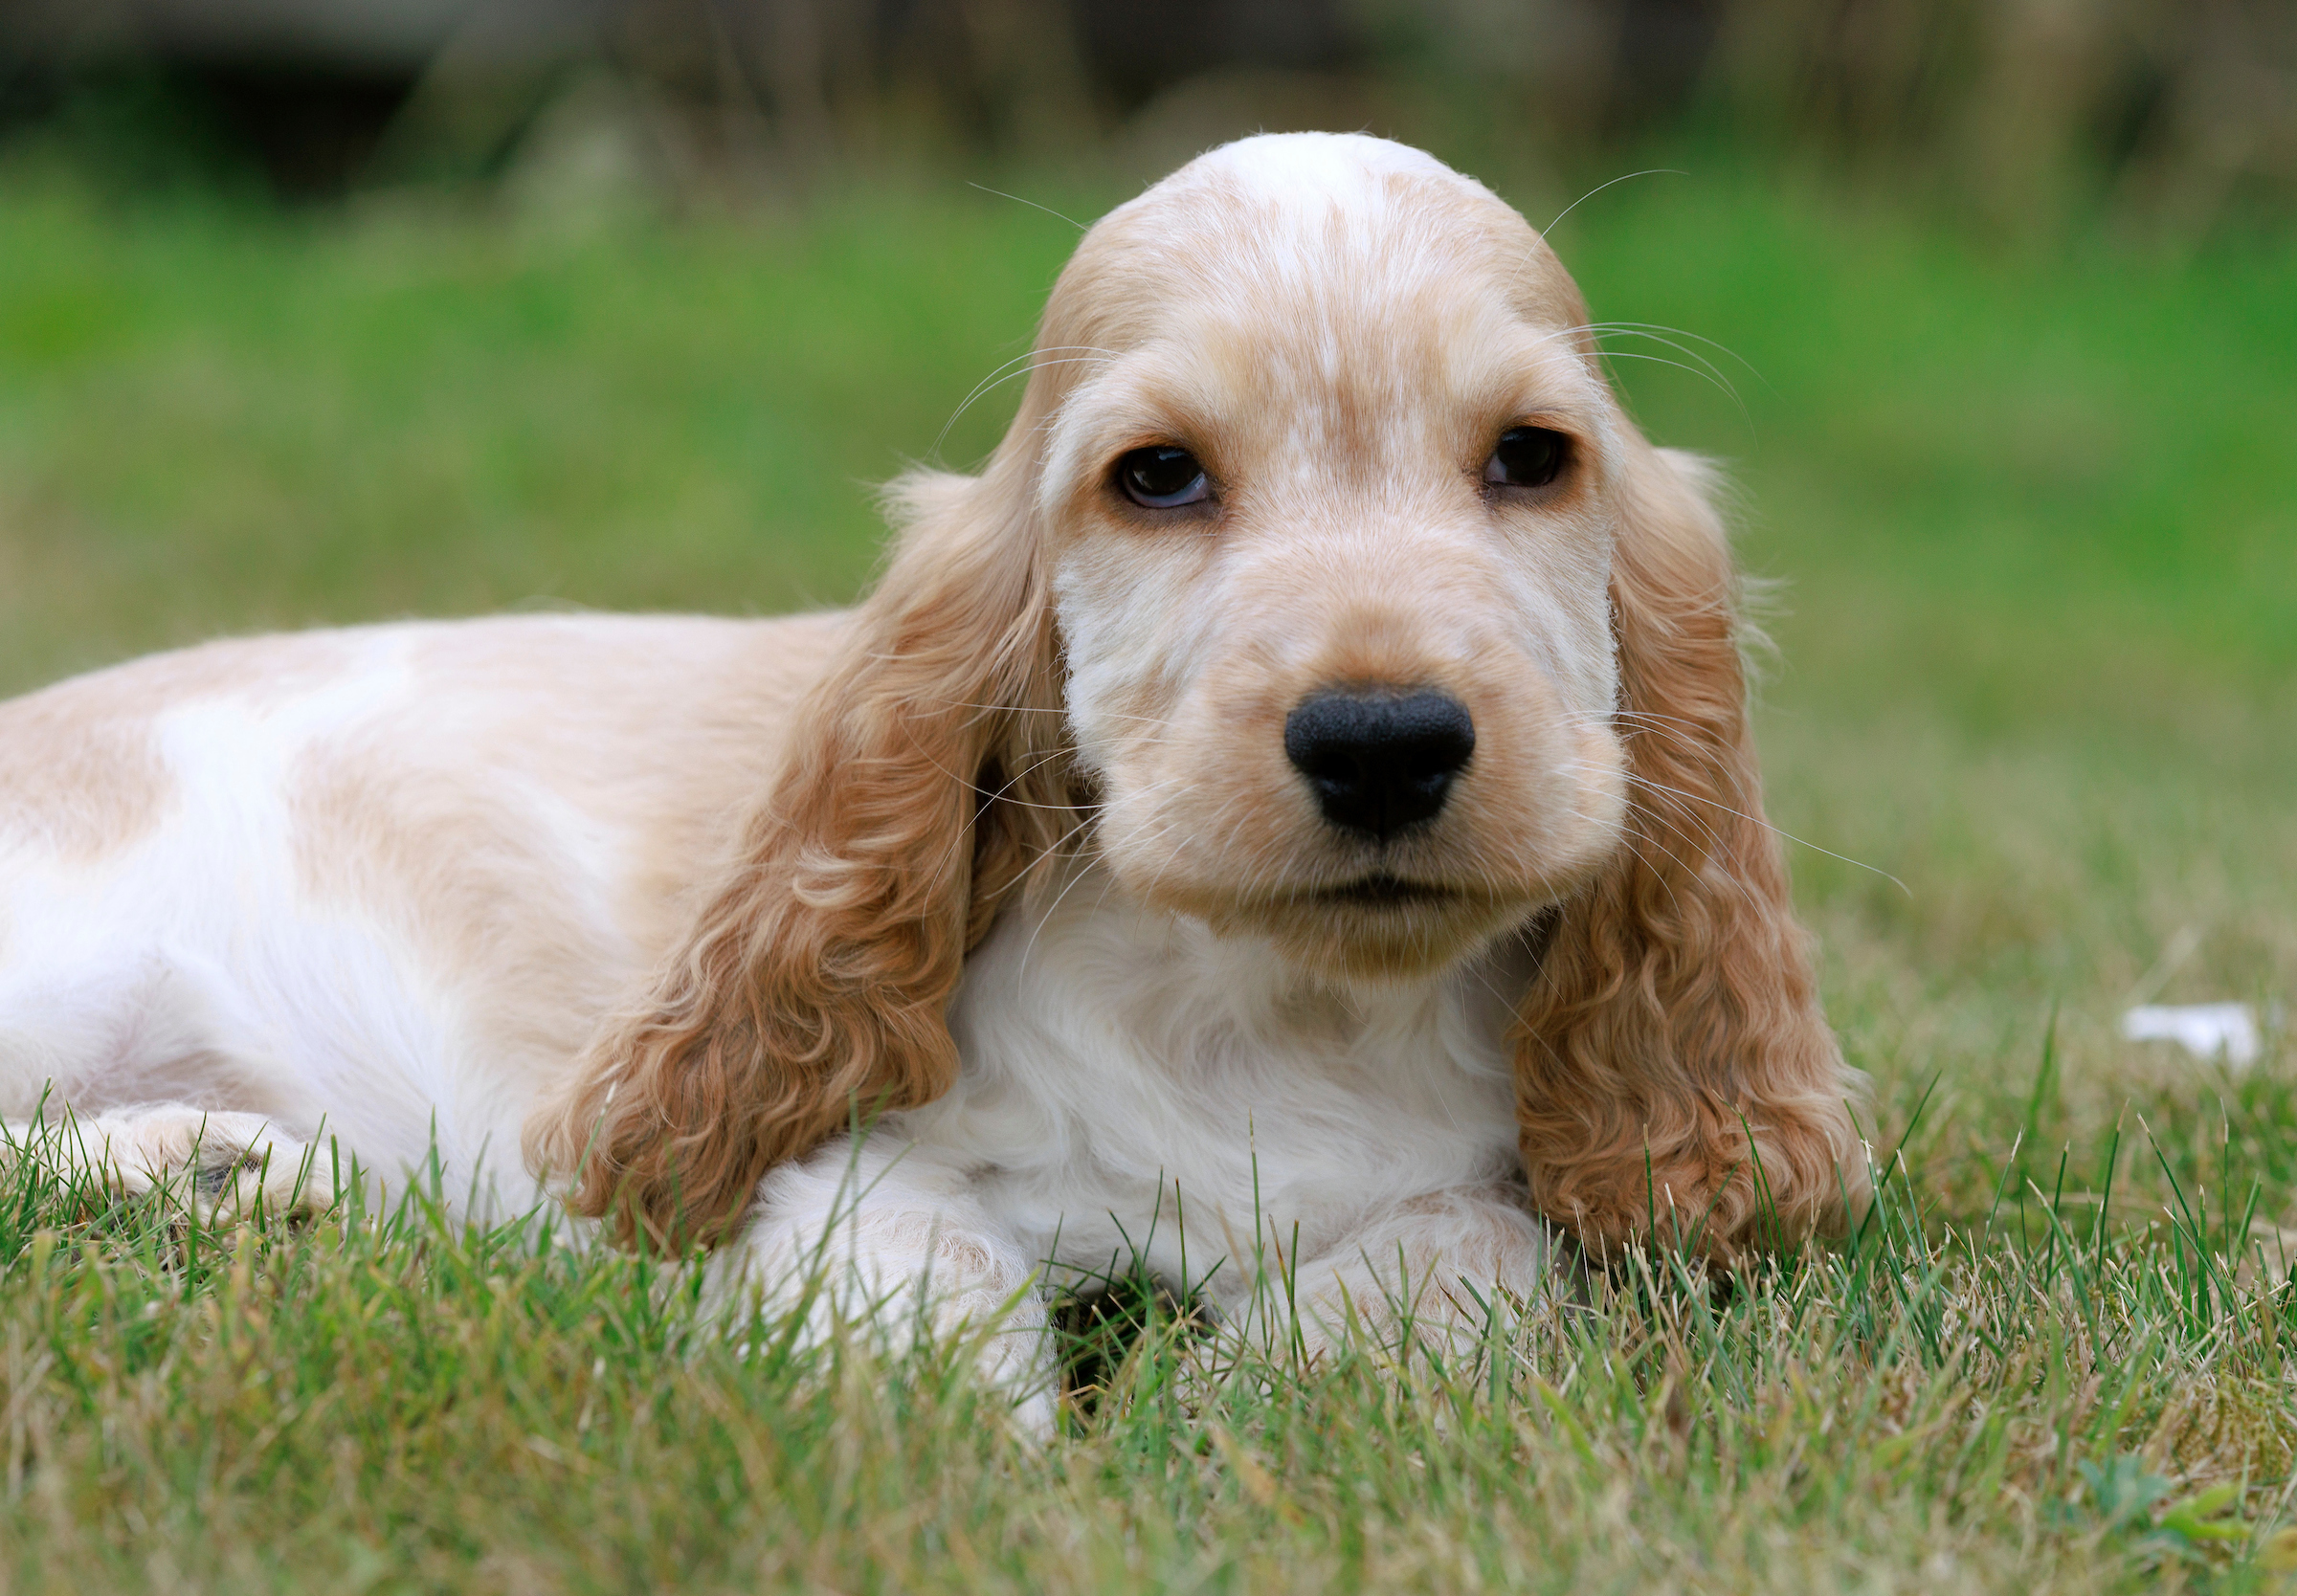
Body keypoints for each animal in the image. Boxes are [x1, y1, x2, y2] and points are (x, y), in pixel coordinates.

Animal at [0, 130, 1864, 1414]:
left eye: (1533, 459)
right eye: (1159, 476)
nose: (1384, 737)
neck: (1269, 1005)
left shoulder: (1543, 1187)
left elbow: (1482, 1240)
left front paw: (1256, 1393)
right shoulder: (817, 1154)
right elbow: (925, 1266)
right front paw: (957, 1446)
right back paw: (204, 1174)